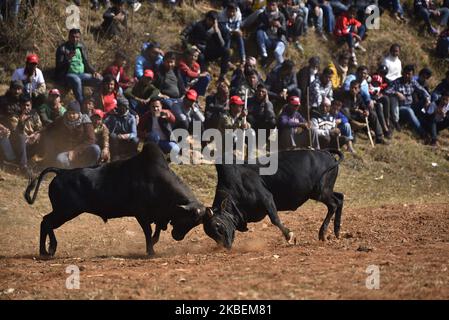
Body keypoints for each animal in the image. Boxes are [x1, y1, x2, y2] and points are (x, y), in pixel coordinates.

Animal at [23, 142, 206, 258]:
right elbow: (148, 232)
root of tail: (61, 172)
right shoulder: (141, 215)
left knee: (45, 222)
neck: (157, 181)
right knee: (46, 222)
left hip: (63, 211)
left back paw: (45, 251)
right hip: (65, 211)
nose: (178, 237)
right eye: (187, 219)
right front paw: (150, 251)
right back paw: (49, 250)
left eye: (195, 223)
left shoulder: (159, 216)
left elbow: (156, 232)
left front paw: (153, 246)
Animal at [203, 149, 344, 249]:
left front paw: (289, 236)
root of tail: (326, 153)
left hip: (321, 191)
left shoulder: (267, 198)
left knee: (334, 204)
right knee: (340, 198)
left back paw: (323, 234)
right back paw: (336, 231)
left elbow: (275, 219)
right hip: (321, 192)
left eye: (218, 225)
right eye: (210, 233)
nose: (225, 247)